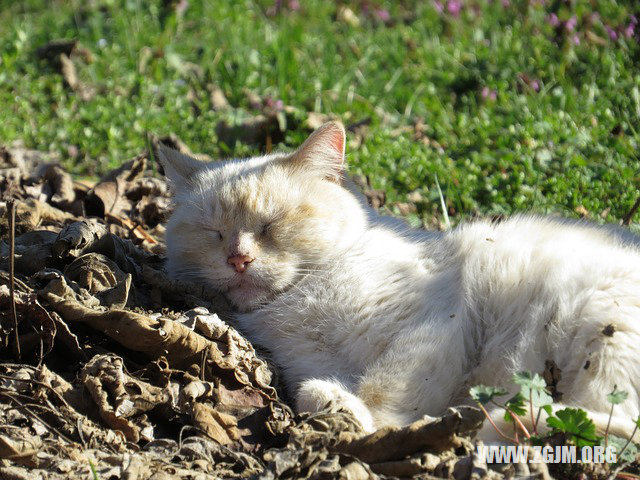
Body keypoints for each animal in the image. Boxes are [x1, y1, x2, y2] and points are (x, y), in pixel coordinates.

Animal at [159, 122, 640, 440]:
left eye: (271, 224)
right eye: (213, 232)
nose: (238, 258)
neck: (296, 305)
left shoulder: (426, 329)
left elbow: (384, 395)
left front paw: (374, 426)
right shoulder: (308, 360)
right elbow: (325, 388)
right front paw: (335, 405)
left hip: (603, 330)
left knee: (603, 423)